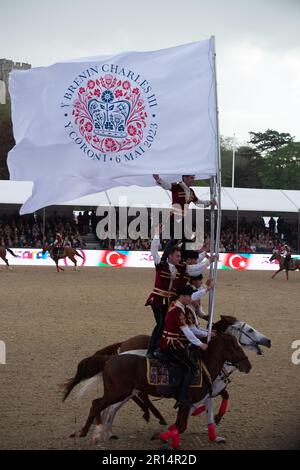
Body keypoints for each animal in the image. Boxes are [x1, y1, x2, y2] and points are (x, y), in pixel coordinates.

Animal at [65, 316, 270, 444]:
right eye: (250, 330)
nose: (268, 341)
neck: (206, 362)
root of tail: (111, 358)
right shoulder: (191, 399)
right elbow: (184, 423)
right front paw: (163, 436)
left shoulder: (205, 394)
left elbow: (206, 411)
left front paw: (214, 434)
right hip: (120, 391)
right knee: (102, 404)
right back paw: (99, 431)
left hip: (122, 390)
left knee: (107, 405)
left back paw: (100, 431)